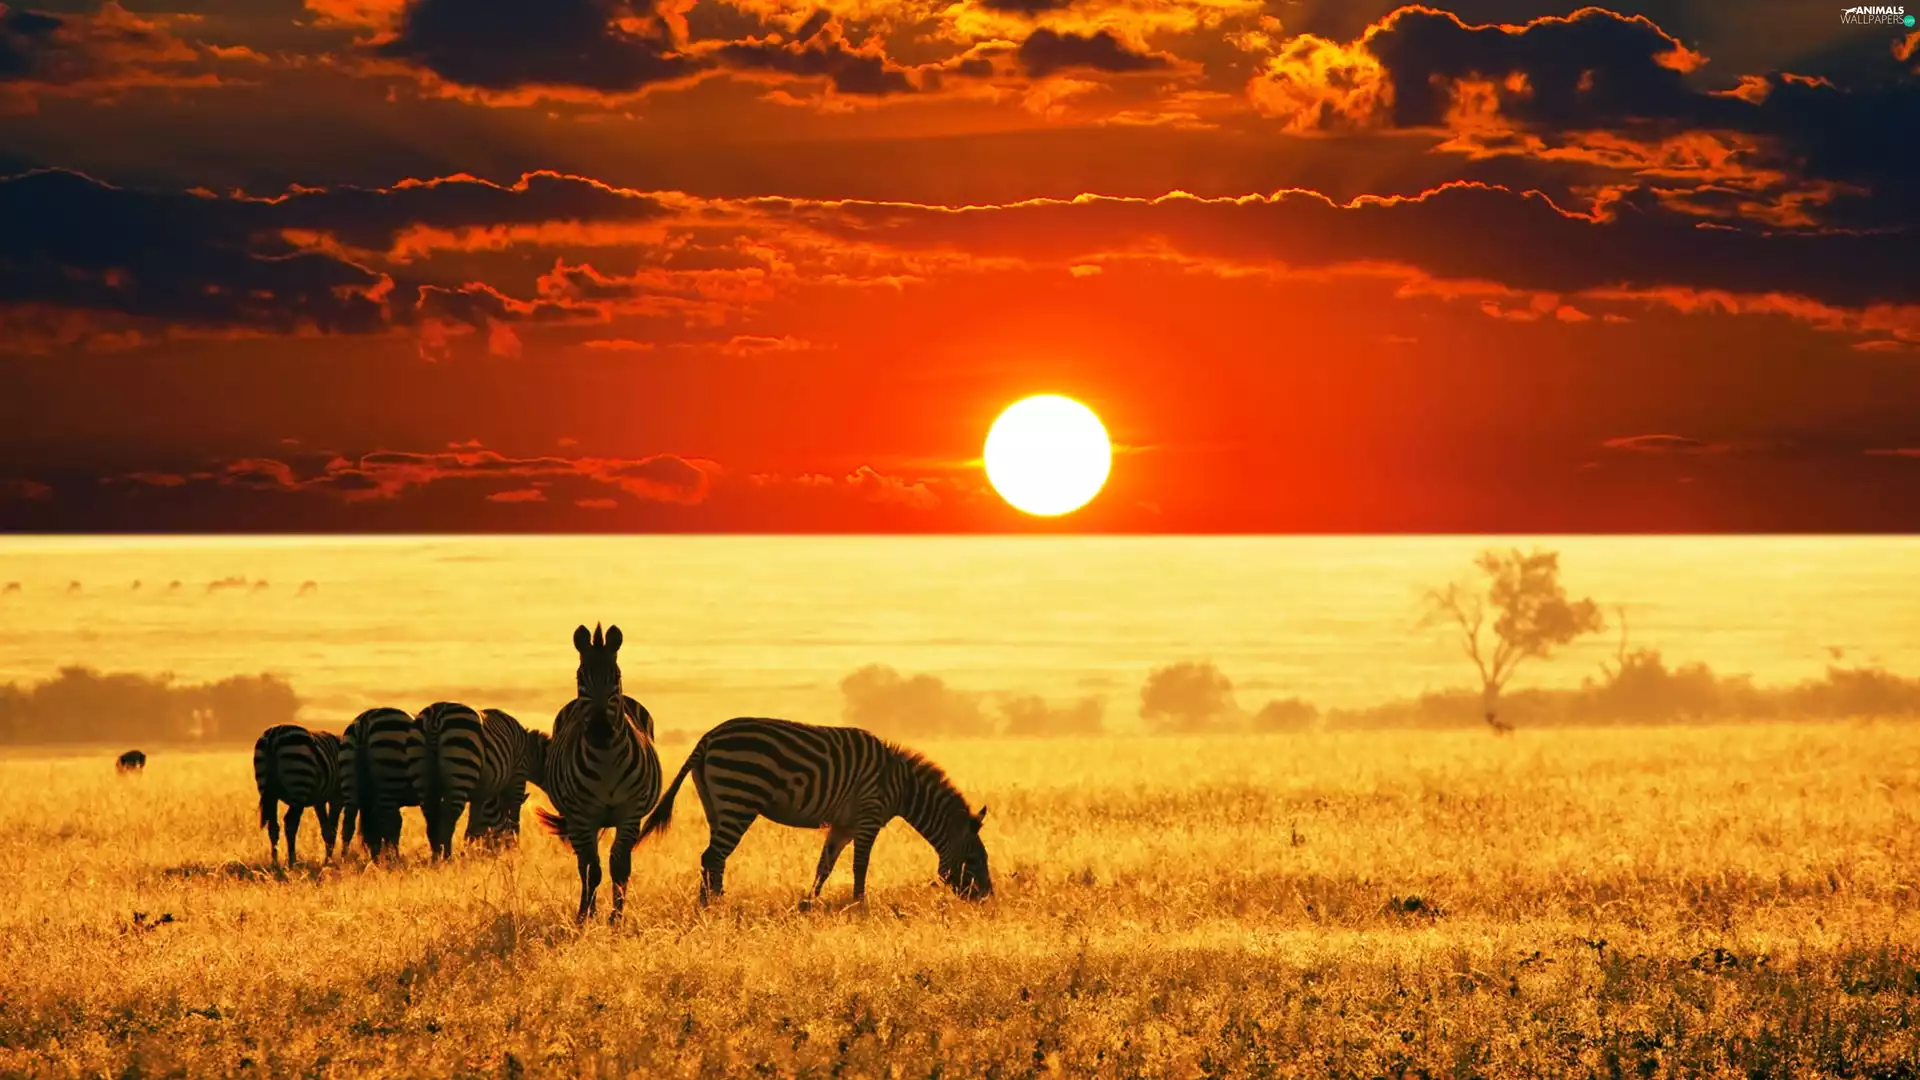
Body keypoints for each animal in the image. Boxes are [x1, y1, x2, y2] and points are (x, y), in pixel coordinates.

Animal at [252, 724, 344, 866]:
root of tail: (273, 736)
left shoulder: (319, 800)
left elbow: (326, 830)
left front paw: (327, 861)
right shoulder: (337, 797)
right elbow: (334, 829)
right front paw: (329, 861)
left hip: (268, 792)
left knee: (273, 827)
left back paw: (275, 863)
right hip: (299, 784)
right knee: (290, 823)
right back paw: (292, 862)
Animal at [342, 706, 421, 859]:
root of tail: (365, 719)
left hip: (351, 781)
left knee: (350, 823)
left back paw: (343, 859)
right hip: (390, 782)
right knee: (389, 823)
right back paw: (392, 859)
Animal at [412, 701, 485, 861]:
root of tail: (436, 714)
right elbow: (474, 824)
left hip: (421, 772)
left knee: (431, 818)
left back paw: (436, 857)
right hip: (461, 766)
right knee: (448, 821)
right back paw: (447, 858)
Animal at [532, 623, 662, 924]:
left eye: (616, 676)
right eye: (581, 677)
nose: (600, 731)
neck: (607, 761)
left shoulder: (630, 813)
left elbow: (619, 866)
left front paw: (616, 918)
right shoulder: (582, 816)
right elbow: (592, 868)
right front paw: (587, 916)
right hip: (578, 821)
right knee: (584, 864)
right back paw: (585, 910)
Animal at [637, 717, 991, 905]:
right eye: (975, 859)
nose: (988, 897)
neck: (902, 785)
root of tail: (708, 738)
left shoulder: (844, 825)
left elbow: (825, 865)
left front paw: (810, 903)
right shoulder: (869, 816)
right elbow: (860, 866)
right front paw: (860, 905)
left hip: (716, 804)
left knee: (714, 857)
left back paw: (712, 902)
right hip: (740, 797)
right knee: (713, 855)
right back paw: (712, 906)